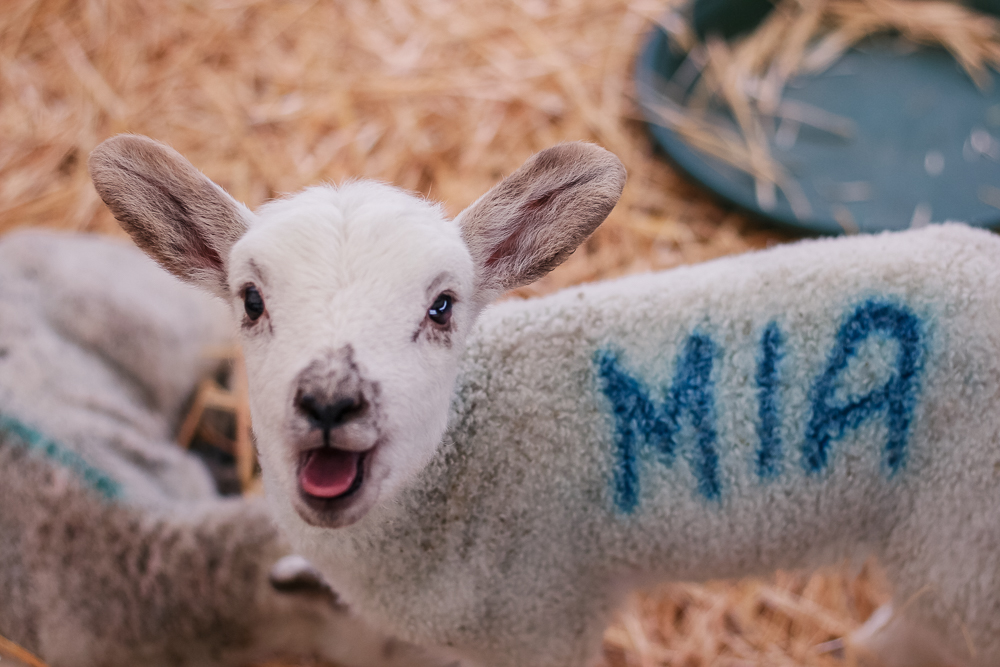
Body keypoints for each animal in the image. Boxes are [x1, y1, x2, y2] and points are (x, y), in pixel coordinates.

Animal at [92, 134, 1000, 667]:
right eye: (249, 300)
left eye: (443, 307)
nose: (329, 399)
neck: (470, 468)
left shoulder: (546, 614)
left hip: (962, 543)